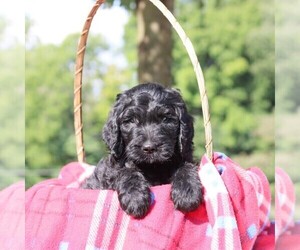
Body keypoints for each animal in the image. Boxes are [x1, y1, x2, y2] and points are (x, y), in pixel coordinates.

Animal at [83, 83, 203, 218]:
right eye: (131, 120)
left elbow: (185, 166)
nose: (149, 148)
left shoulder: (185, 156)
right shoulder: (112, 169)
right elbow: (125, 171)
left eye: (166, 119)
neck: (152, 166)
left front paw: (187, 192)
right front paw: (135, 198)